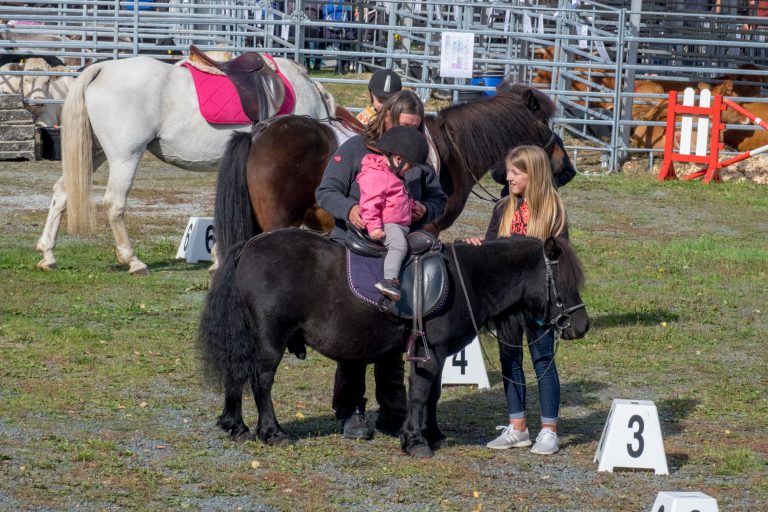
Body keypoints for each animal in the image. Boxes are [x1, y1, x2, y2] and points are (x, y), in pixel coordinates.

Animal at [36, 54, 332, 274]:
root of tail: (102, 68)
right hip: (125, 157)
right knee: (114, 203)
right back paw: (133, 261)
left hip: (94, 153)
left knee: (62, 192)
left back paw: (48, 253)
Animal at [198, 228, 588, 456]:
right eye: (563, 281)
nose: (581, 325)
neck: (465, 279)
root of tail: (249, 245)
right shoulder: (429, 354)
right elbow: (418, 394)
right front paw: (415, 440)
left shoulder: (436, 354)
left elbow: (432, 395)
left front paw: (432, 434)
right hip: (269, 340)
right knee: (261, 381)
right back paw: (271, 431)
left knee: (236, 374)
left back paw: (236, 426)